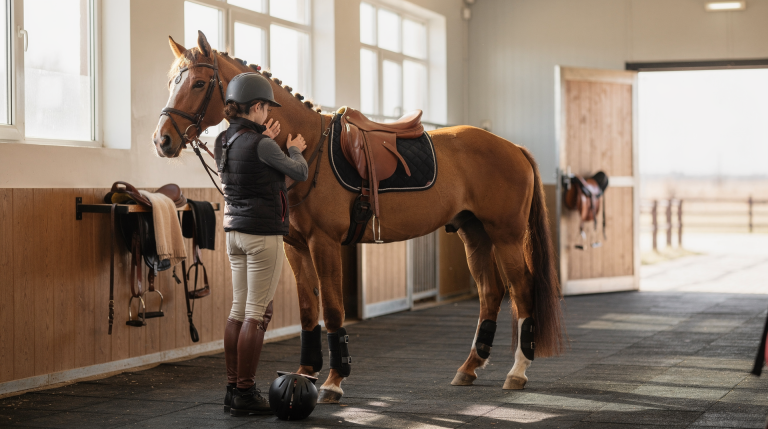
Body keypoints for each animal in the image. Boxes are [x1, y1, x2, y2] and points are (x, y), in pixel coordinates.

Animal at [153, 31, 564, 403]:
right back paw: (469, 368)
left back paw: (517, 372)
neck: (308, 150)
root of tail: (513, 147)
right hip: (474, 233)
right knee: (490, 292)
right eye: (172, 82)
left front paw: (333, 381)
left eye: (199, 82)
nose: (162, 140)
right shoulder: (295, 247)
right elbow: (308, 312)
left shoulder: (324, 244)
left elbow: (333, 311)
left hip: (506, 235)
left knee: (522, 290)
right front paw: (305, 373)